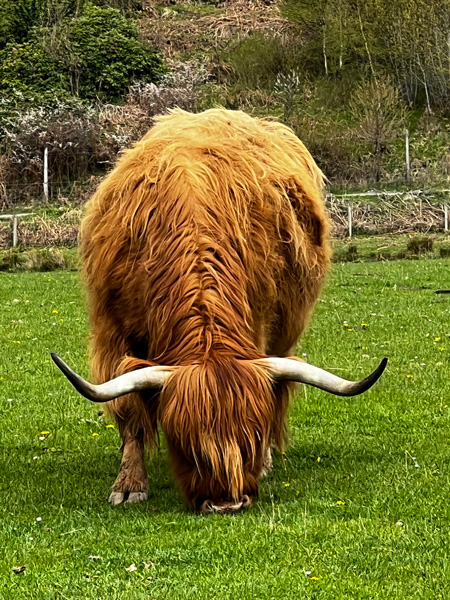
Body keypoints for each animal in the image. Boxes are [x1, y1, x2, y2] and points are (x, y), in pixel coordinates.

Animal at [51, 108, 384, 510]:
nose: (227, 503)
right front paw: (129, 483)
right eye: (186, 443)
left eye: (252, 436)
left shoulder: (258, 319)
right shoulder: (112, 332)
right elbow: (129, 408)